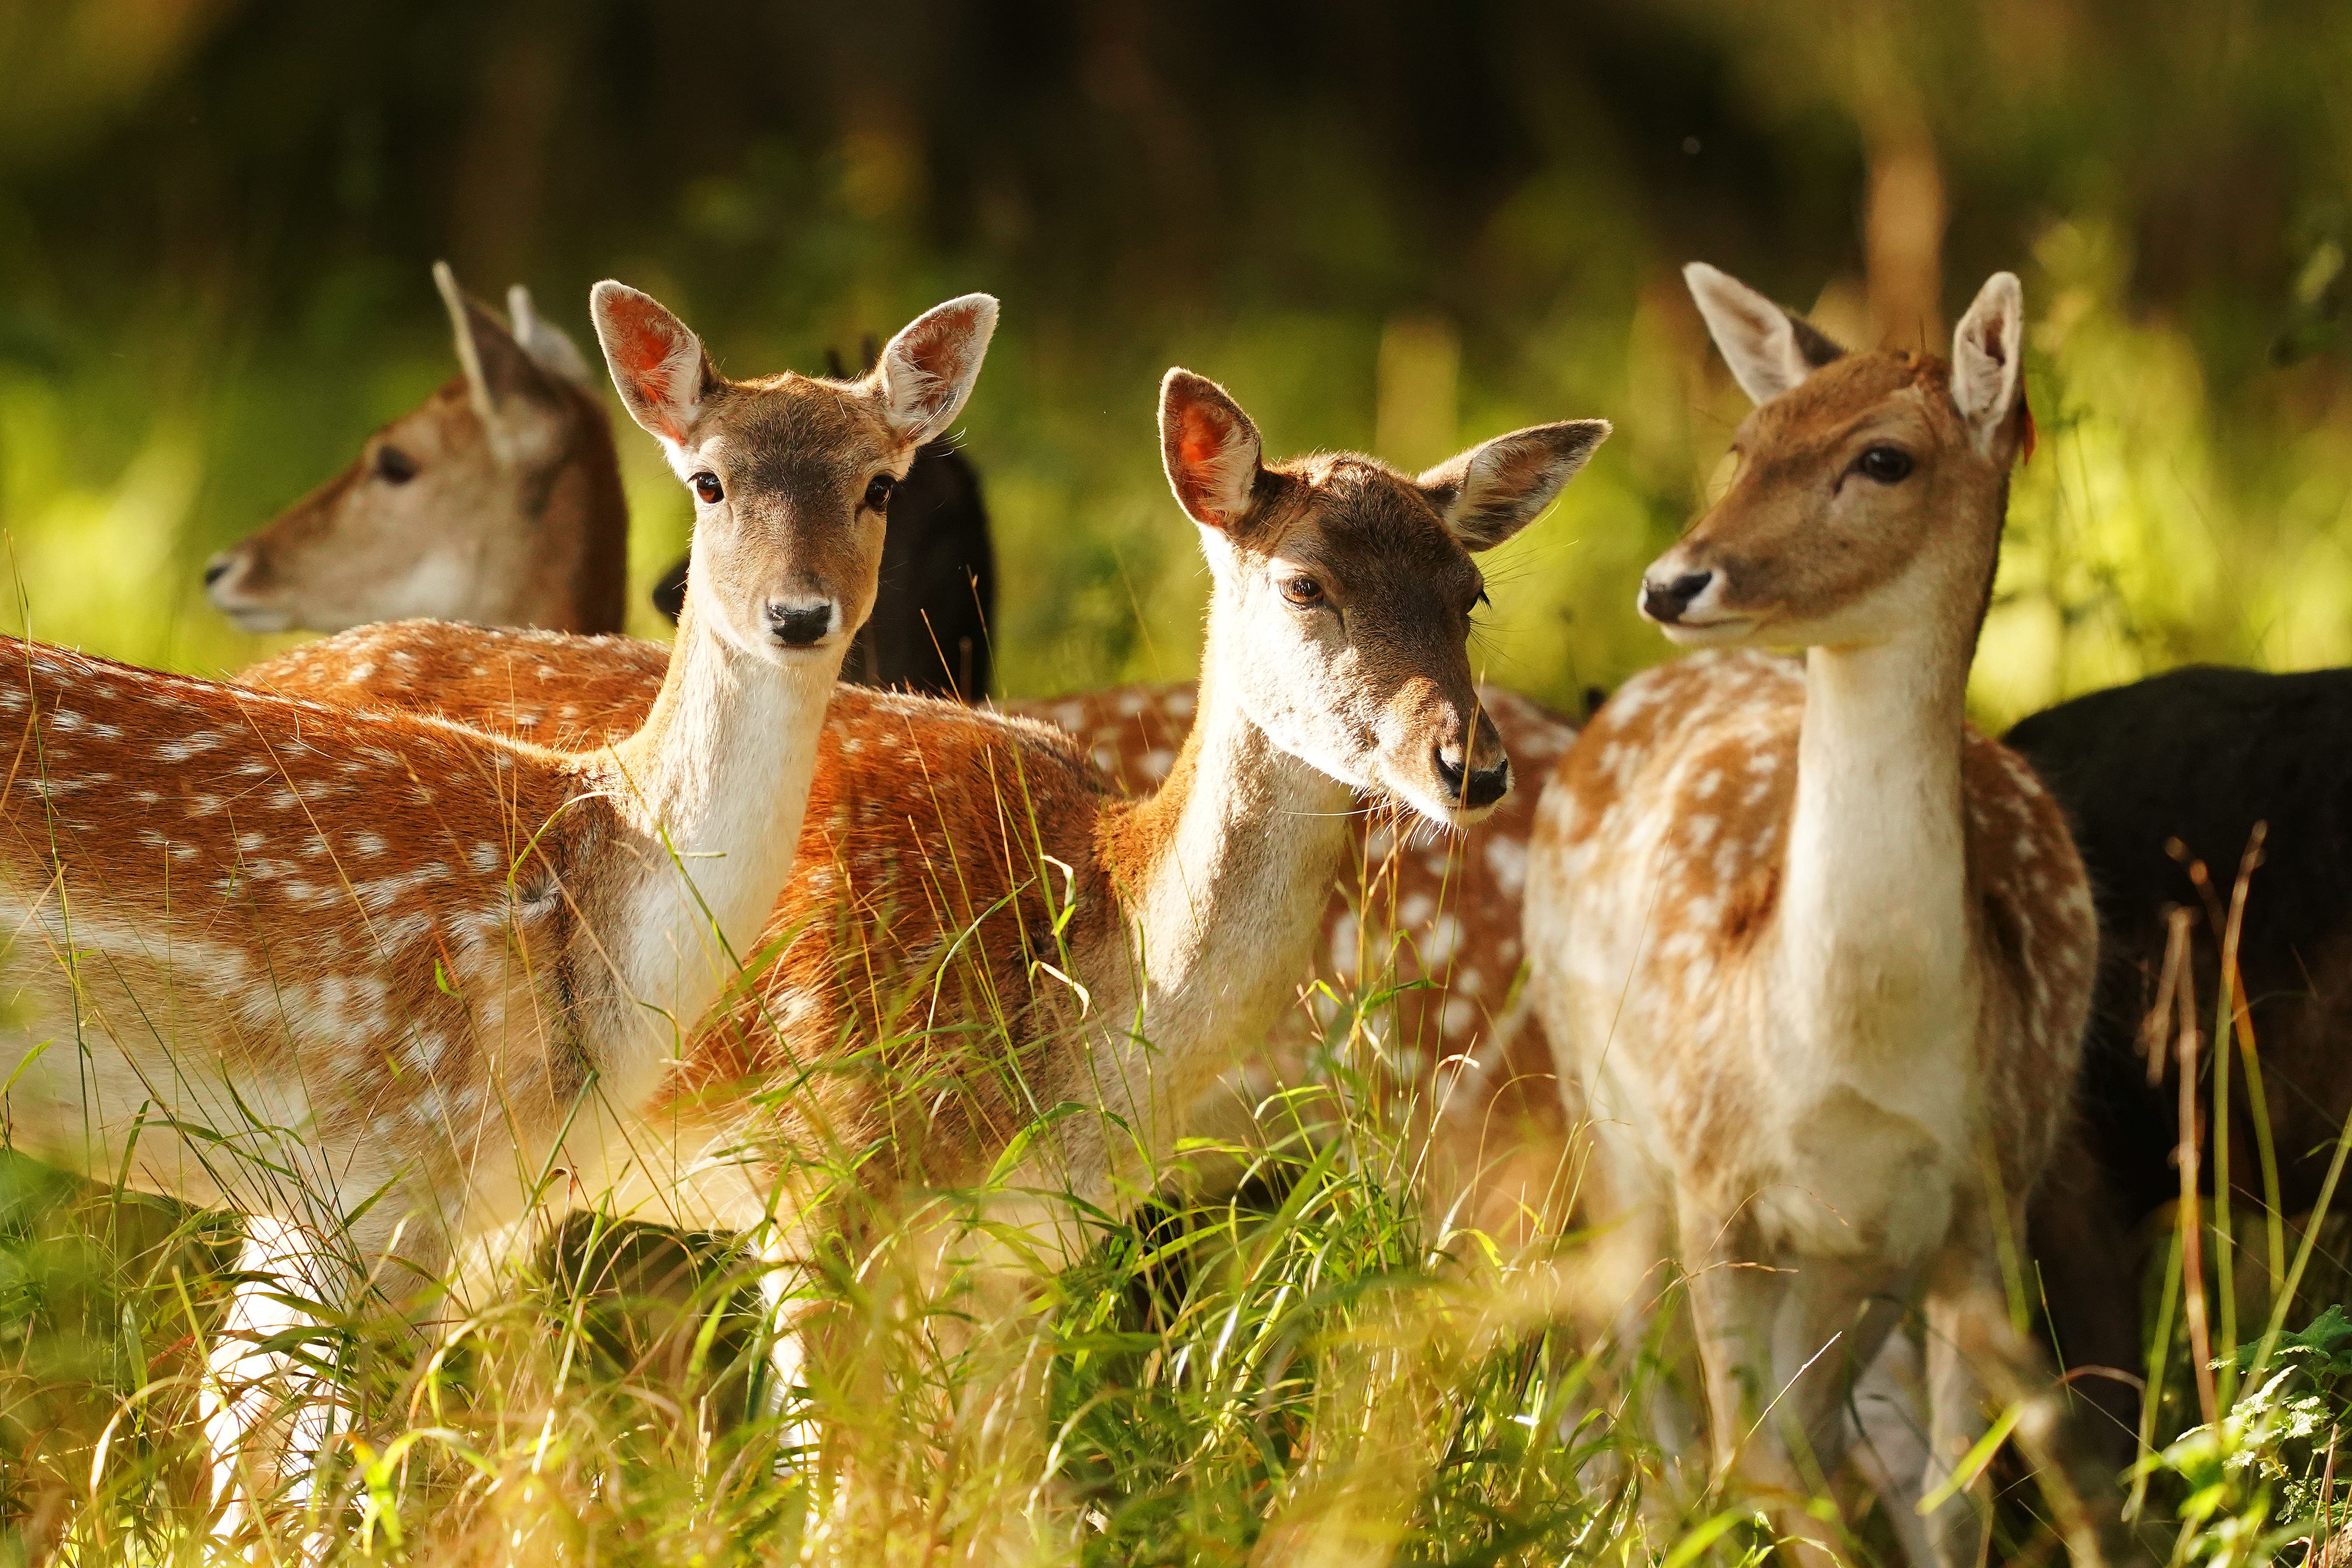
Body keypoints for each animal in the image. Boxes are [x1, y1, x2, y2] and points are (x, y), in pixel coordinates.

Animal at [1524, 267, 2135, 1568]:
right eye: (1743, 445)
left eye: (1883, 458)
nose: (1671, 581)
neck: (1857, 1042)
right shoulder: (1715, 1173)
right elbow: (1750, 1458)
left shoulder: (1982, 1193)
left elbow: (1947, 1497)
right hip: (1606, 1121)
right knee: (1659, 1408)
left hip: (1854, 1259)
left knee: (1815, 1433)